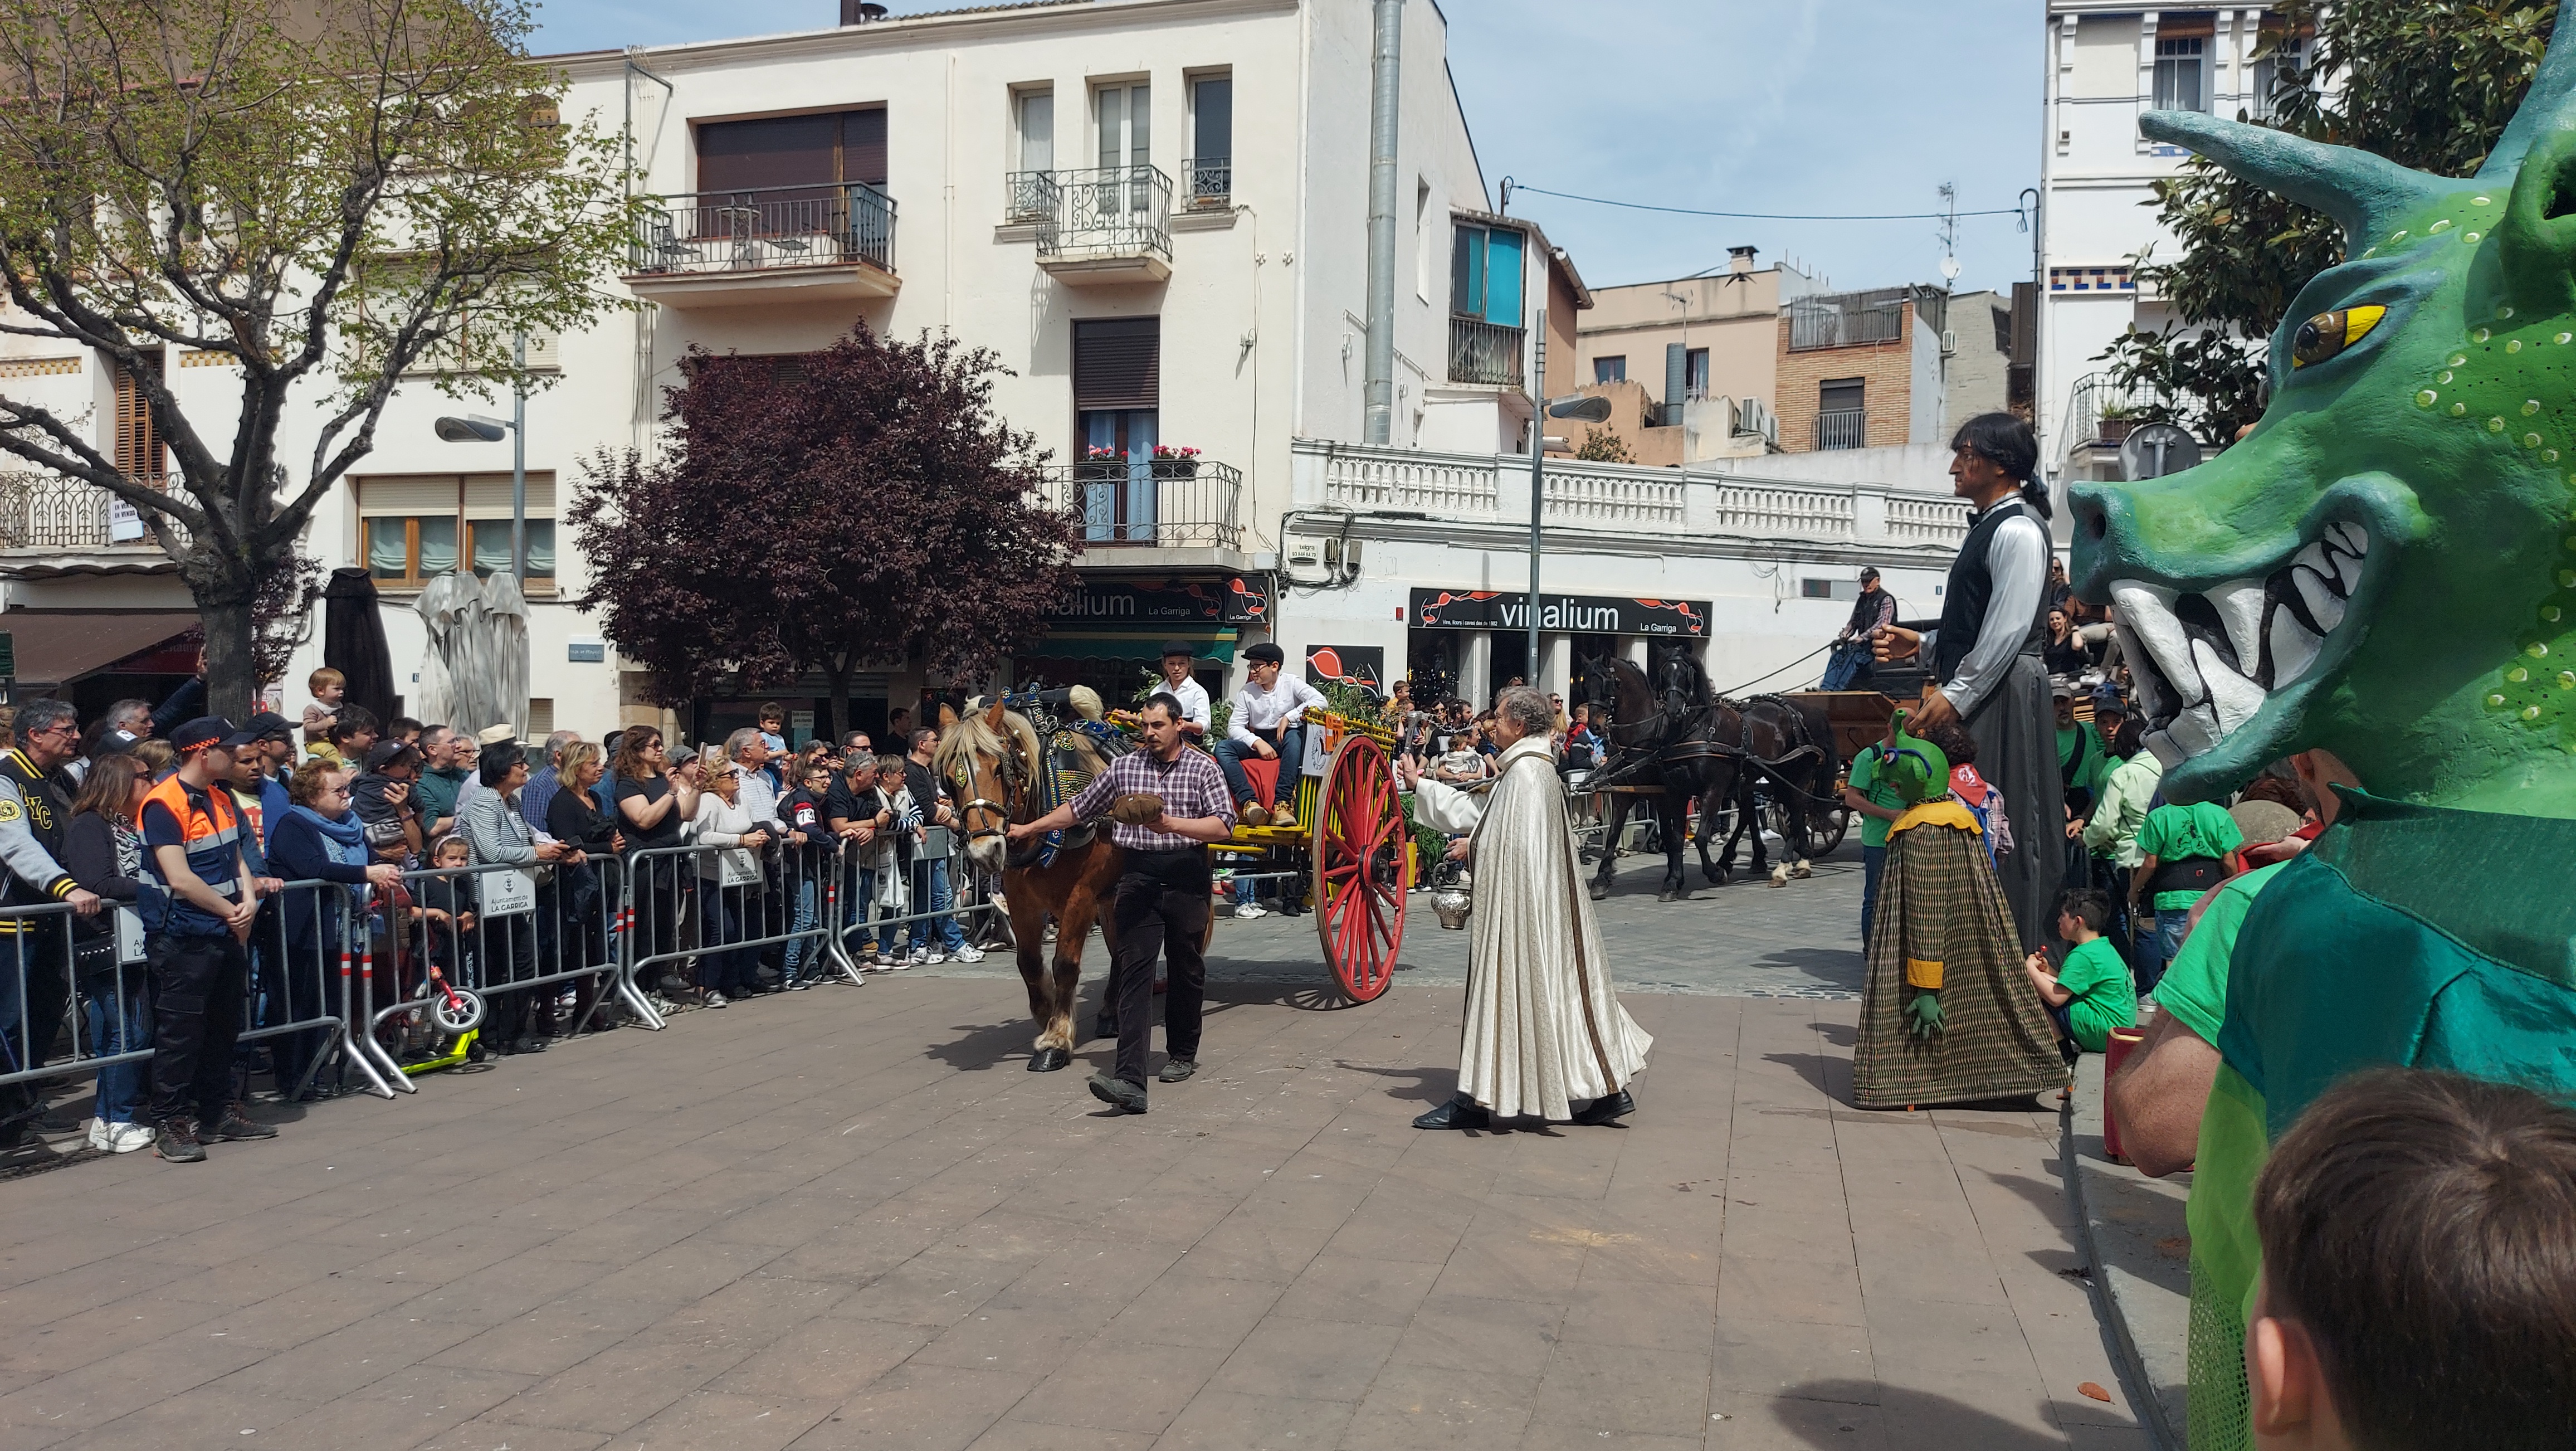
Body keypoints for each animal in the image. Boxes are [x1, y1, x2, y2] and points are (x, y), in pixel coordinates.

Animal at [932, 695, 1123, 1072]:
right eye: (948, 778)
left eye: (998, 768)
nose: (985, 850)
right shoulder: (1021, 898)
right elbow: (1030, 963)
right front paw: (1045, 1015)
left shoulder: (1081, 895)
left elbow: (1065, 964)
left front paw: (1056, 1039)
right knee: (1119, 947)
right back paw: (1111, 1012)